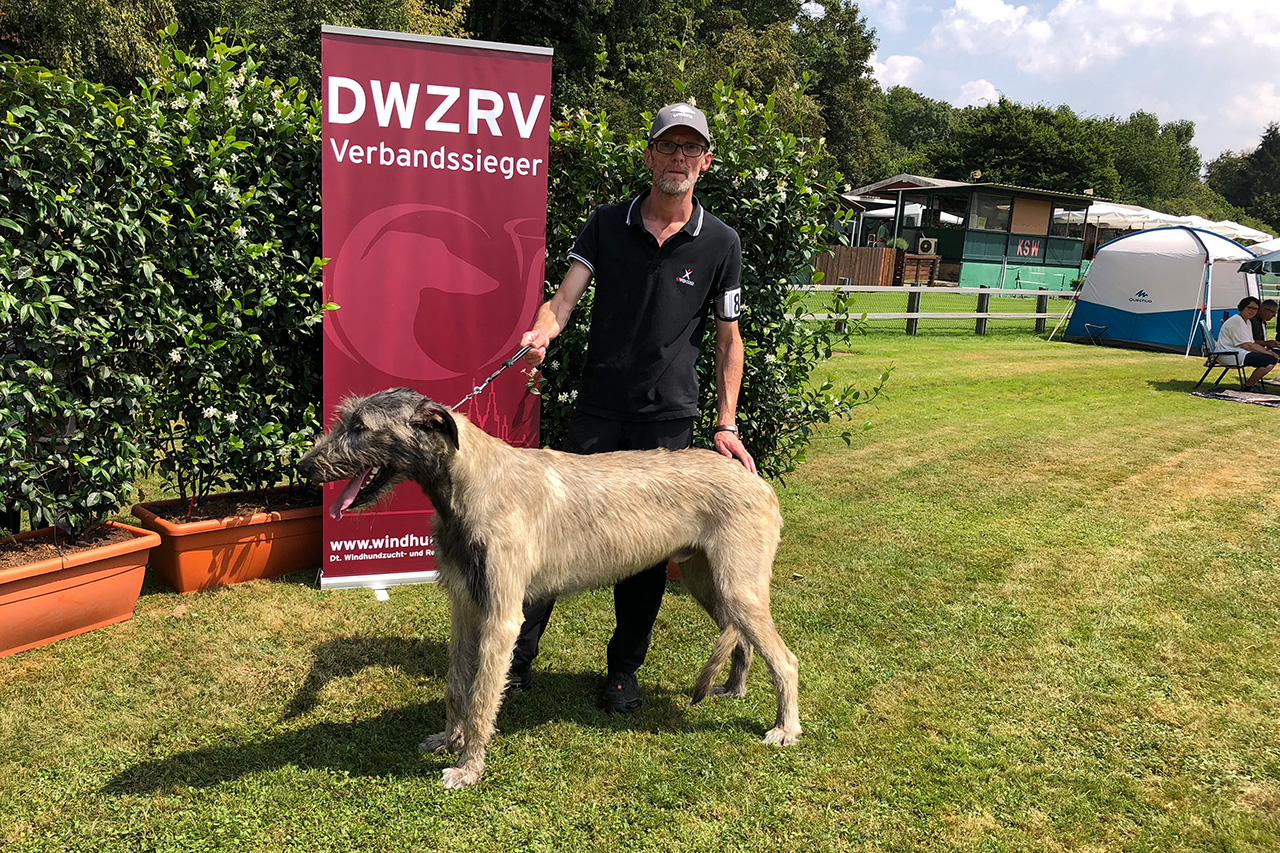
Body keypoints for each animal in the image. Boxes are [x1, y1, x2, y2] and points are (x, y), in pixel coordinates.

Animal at [299, 384, 798, 783]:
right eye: (346, 419)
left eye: (361, 427)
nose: (303, 467)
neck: (473, 479)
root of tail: (756, 478)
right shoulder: (465, 604)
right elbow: (456, 685)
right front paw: (448, 738)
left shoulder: (501, 616)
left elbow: (482, 696)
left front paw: (468, 767)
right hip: (709, 581)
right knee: (743, 639)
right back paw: (734, 689)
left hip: (738, 585)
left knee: (786, 660)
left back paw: (785, 728)